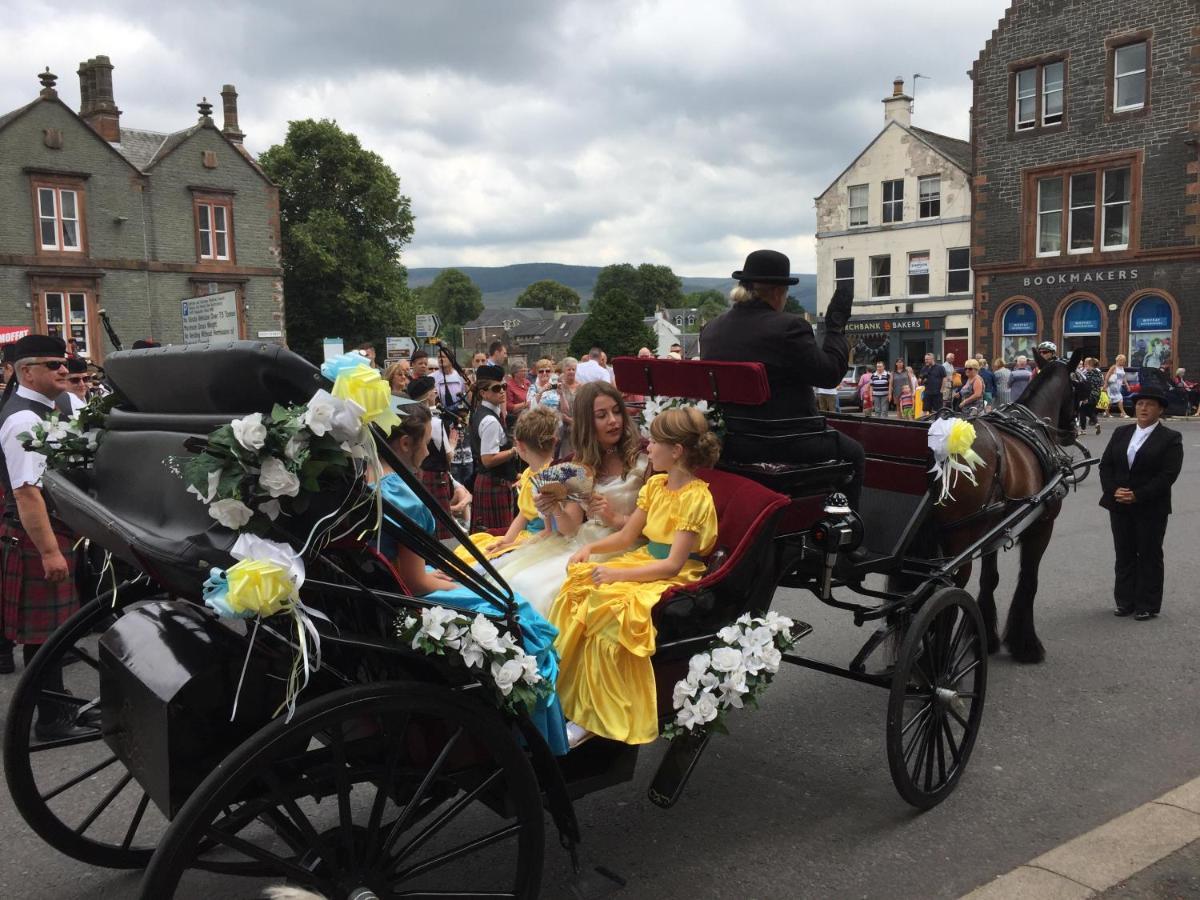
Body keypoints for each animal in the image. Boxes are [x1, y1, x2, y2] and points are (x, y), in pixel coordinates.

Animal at [926, 348, 1089, 667]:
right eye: (1079, 387)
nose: (1072, 430)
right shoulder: (1042, 526)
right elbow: (1029, 580)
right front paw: (1027, 644)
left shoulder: (992, 531)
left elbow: (990, 579)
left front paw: (987, 638)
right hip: (956, 544)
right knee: (944, 593)